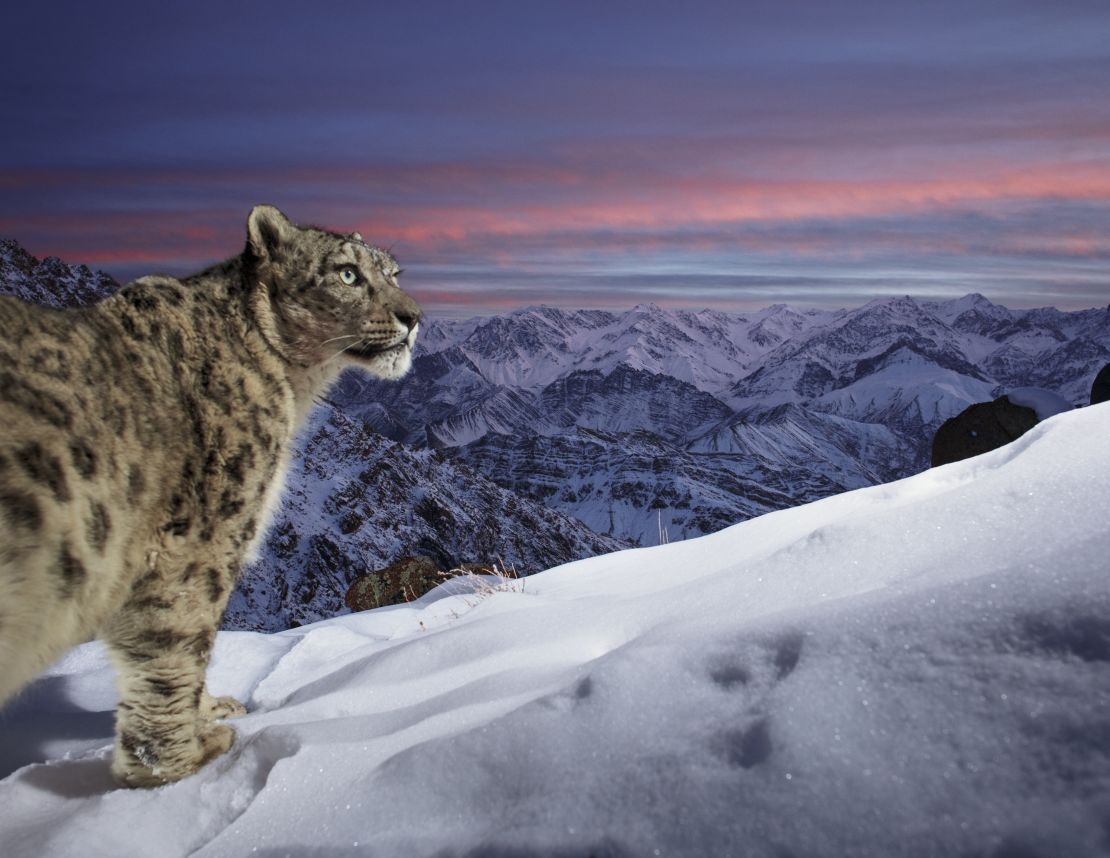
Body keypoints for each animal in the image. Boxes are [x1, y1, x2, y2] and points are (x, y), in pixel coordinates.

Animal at [0, 204, 419, 785]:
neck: (294, 389)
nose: (413, 316)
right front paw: (181, 762)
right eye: (348, 274)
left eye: (394, 273)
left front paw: (210, 712)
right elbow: (179, 644)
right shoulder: (201, 540)